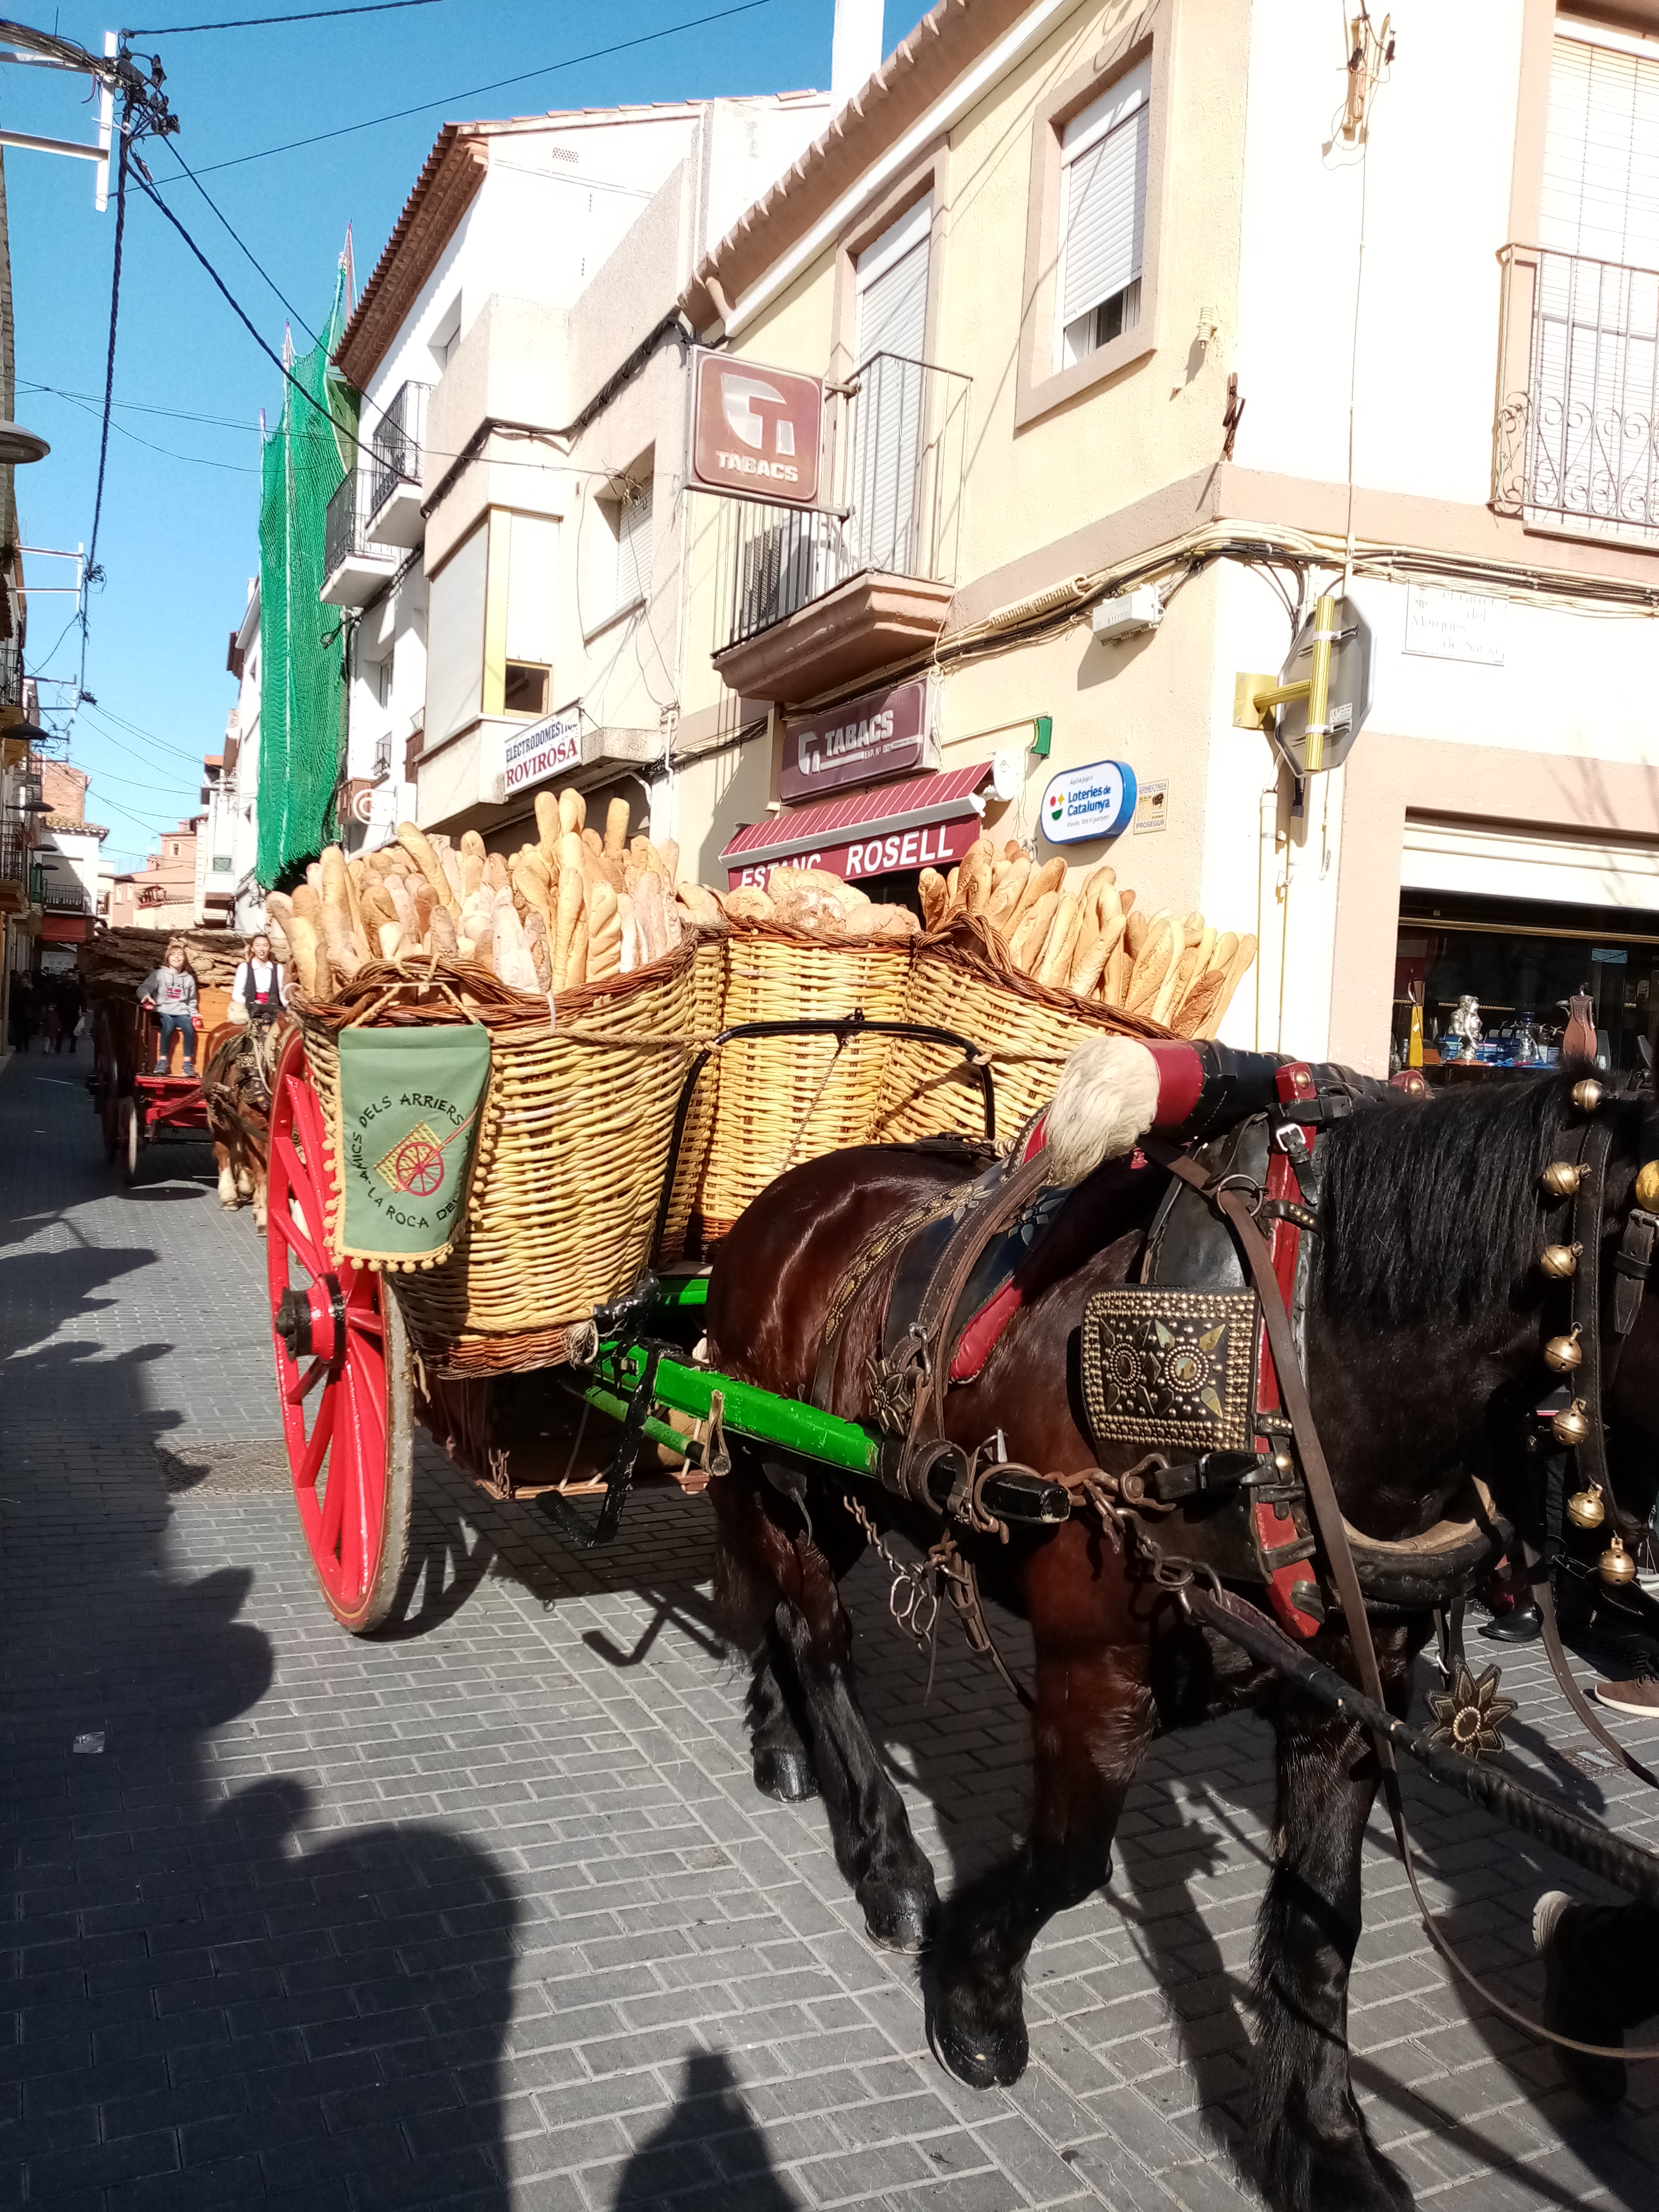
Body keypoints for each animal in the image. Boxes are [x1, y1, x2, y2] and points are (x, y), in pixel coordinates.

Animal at [699, 1062, 1659, 2212]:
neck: (1289, 1361)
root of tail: (790, 1196)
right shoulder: (1095, 1673)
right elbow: (1068, 1863)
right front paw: (975, 1998)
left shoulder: (1351, 1697)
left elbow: (1325, 1920)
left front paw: (1323, 2143)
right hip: (784, 1473)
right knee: (819, 1636)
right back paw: (886, 1858)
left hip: (833, 1487)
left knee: (782, 1612)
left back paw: (780, 1737)